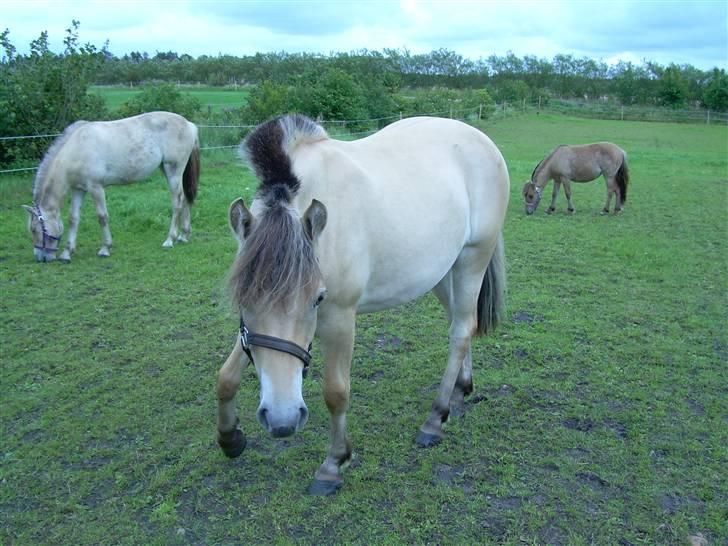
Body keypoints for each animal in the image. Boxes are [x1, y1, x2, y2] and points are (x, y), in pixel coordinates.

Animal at [23, 111, 199, 262]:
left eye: (34, 229)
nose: (40, 258)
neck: (76, 150)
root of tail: (189, 124)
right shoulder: (78, 189)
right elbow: (73, 219)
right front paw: (67, 253)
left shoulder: (96, 188)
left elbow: (102, 217)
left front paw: (105, 248)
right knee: (185, 200)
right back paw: (184, 235)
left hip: (173, 171)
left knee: (177, 202)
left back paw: (170, 239)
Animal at [216, 115, 512, 492]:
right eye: (242, 301)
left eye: (318, 298)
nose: (282, 420)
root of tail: (482, 140)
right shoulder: (254, 334)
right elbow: (225, 377)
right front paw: (230, 438)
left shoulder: (340, 318)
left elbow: (336, 392)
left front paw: (334, 463)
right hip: (443, 271)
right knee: (463, 325)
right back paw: (459, 393)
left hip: (473, 259)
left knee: (460, 332)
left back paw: (434, 418)